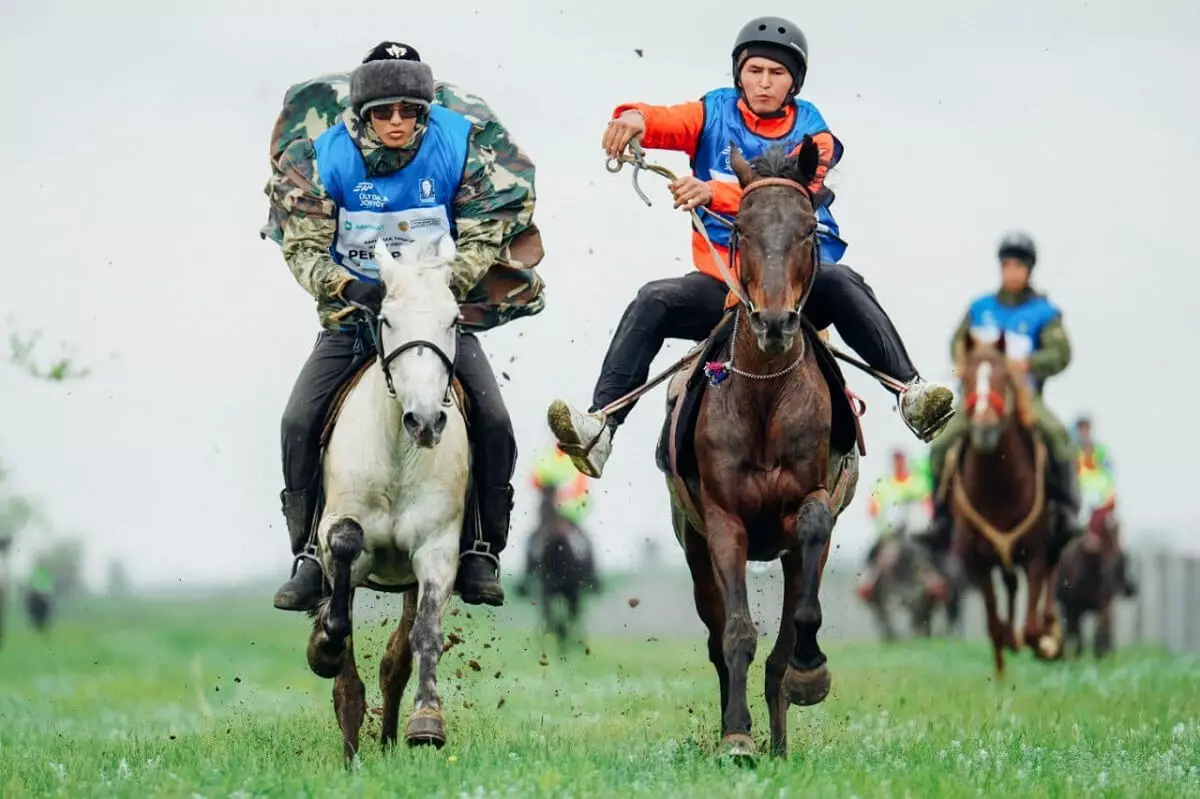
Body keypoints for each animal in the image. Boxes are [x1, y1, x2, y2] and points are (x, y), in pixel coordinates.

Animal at [304, 235, 472, 758]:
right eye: (387, 319)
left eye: (453, 320)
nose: (425, 421)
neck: (400, 451)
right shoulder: (339, 538)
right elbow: (343, 561)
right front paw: (323, 648)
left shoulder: (437, 550)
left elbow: (426, 634)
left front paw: (427, 724)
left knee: (395, 663)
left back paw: (389, 741)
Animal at [657, 138, 864, 758]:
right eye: (741, 230)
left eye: (808, 230)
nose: (774, 323)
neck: (766, 394)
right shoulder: (723, 522)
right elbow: (736, 634)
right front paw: (736, 736)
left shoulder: (810, 510)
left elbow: (812, 542)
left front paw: (810, 673)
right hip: (694, 547)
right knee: (718, 635)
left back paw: (781, 733)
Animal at [945, 333, 1060, 676]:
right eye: (966, 379)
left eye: (1003, 378)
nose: (985, 430)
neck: (999, 488)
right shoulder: (978, 560)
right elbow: (995, 626)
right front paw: (1000, 674)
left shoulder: (1035, 553)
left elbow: (1033, 628)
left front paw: (1043, 643)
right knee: (1009, 591)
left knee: (1050, 579)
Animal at [1060, 501, 1123, 657]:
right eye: (1106, 528)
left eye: (1118, 526)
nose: (1119, 555)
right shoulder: (1073, 605)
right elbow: (1075, 629)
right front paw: (1077, 654)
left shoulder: (1103, 603)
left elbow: (1101, 626)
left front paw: (1100, 653)